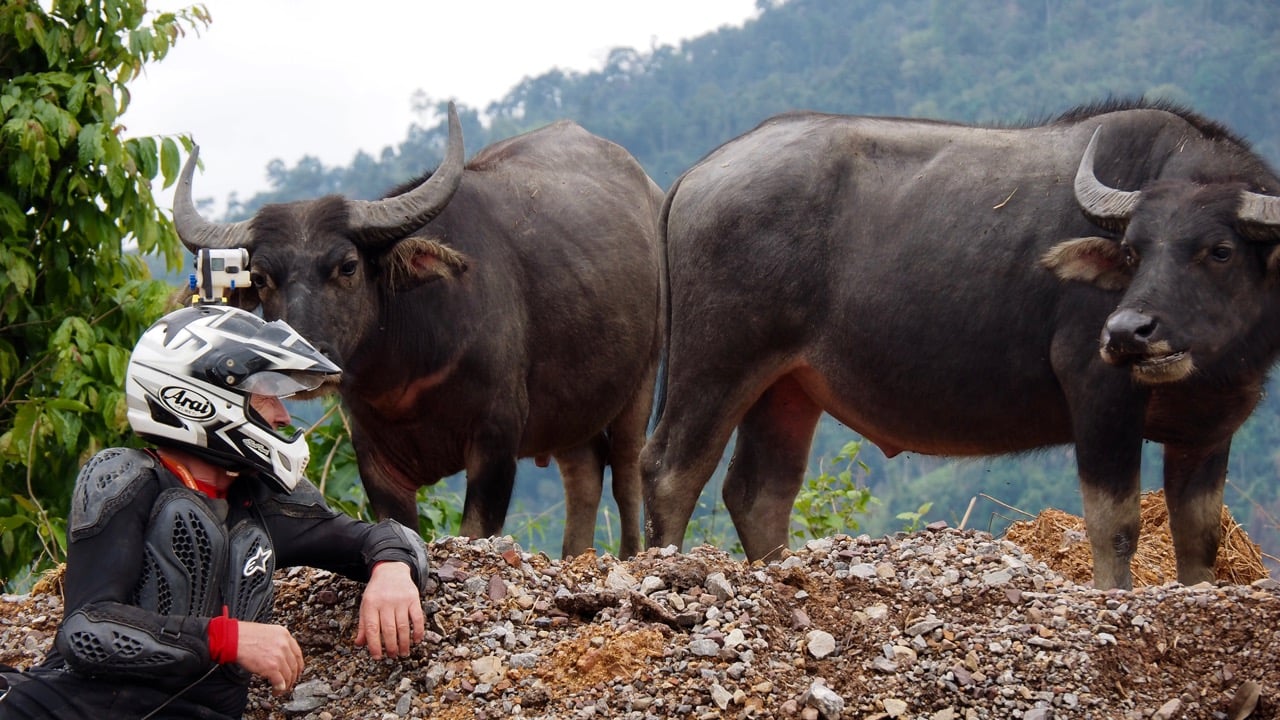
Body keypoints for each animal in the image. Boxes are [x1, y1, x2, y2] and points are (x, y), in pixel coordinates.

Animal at [174, 105, 665, 556]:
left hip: (644, 376)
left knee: (626, 470)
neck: (407, 373)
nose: (304, 363)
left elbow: (476, 529)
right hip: (569, 409)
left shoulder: (496, 441)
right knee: (585, 469)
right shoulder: (376, 462)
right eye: (259, 278)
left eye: (348, 266)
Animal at [640, 98, 1280, 586]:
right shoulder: (1100, 399)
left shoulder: (1208, 432)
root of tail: (695, 176)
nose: (1127, 333)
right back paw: (666, 568)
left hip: (787, 388)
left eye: (1220, 250)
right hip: (715, 363)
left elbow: (1198, 537)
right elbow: (1115, 525)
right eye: (1133, 251)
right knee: (671, 471)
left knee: (760, 491)